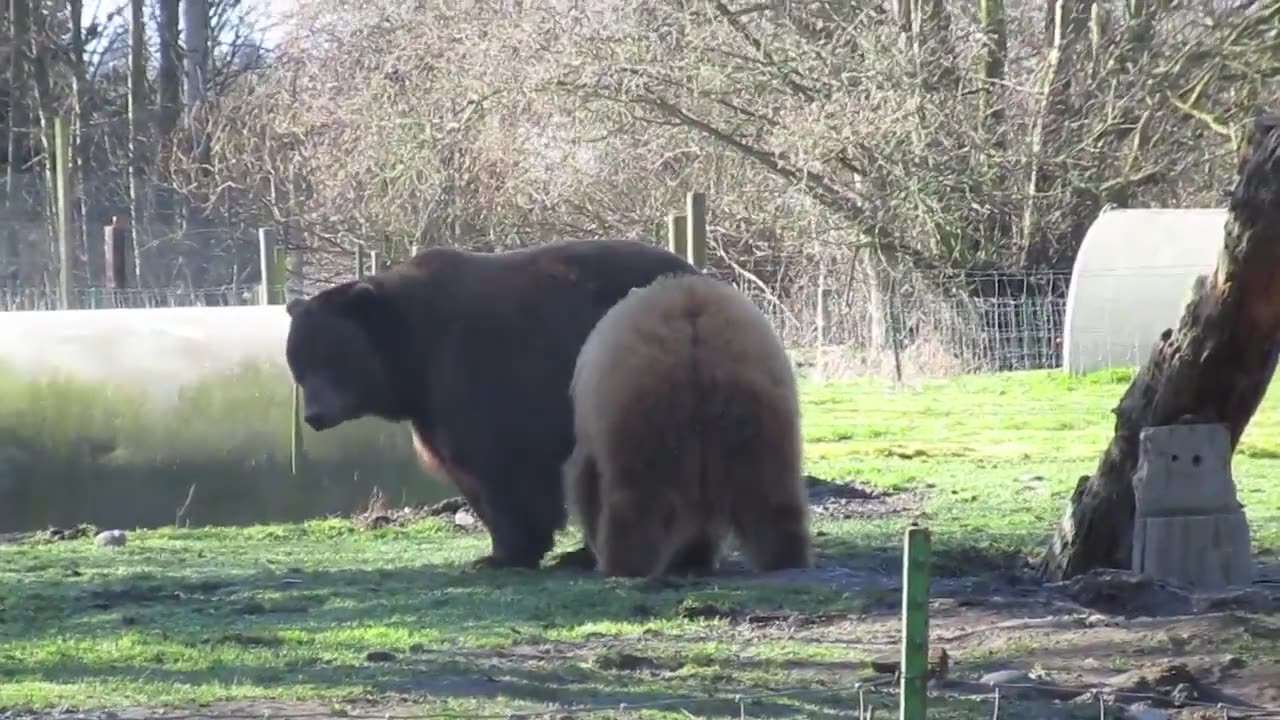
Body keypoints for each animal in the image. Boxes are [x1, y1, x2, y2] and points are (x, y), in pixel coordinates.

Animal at [284, 238, 696, 568]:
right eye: (298, 362)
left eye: (334, 357)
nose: (314, 415)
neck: (413, 357)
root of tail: (694, 271)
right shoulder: (432, 406)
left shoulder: (480, 375)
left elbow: (499, 467)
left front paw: (506, 552)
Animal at [565, 271, 814, 573]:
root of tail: (694, 330)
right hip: (758, 410)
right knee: (772, 489)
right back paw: (785, 556)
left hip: (642, 413)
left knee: (636, 494)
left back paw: (623, 564)